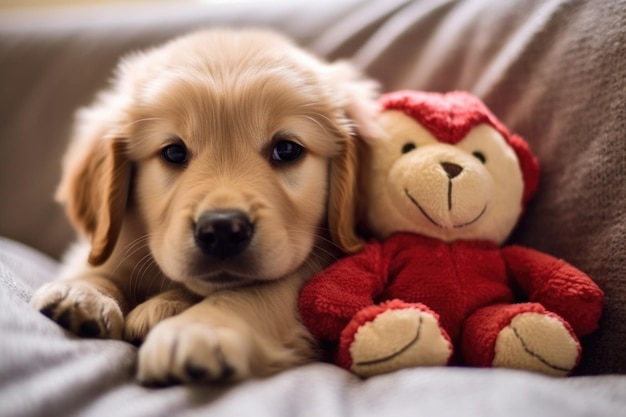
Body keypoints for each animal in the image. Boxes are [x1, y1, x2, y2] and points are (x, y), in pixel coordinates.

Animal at [30, 27, 376, 382]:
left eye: (287, 150)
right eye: (173, 152)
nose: (222, 229)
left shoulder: (312, 267)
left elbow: (252, 294)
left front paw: (196, 329)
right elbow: (98, 266)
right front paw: (81, 293)